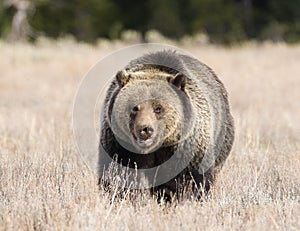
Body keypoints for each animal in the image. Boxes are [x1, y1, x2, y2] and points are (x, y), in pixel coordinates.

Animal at [98, 50, 234, 200]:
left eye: (158, 108)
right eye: (134, 107)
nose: (145, 129)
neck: (155, 149)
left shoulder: (186, 149)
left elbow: (190, 178)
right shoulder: (120, 146)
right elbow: (118, 173)